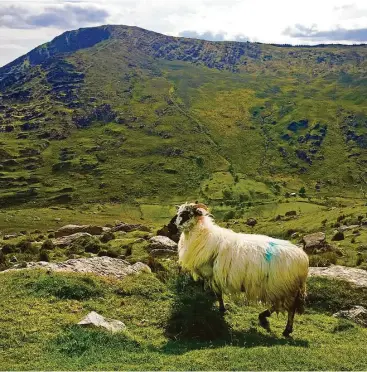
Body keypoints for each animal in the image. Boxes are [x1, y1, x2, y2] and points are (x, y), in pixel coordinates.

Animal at [175, 203, 310, 338]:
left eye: (186, 213)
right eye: (179, 212)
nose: (176, 225)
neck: (203, 234)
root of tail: (303, 258)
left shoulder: (213, 275)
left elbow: (218, 294)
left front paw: (221, 309)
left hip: (283, 287)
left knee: (288, 308)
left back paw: (284, 328)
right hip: (282, 289)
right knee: (281, 306)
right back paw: (265, 317)